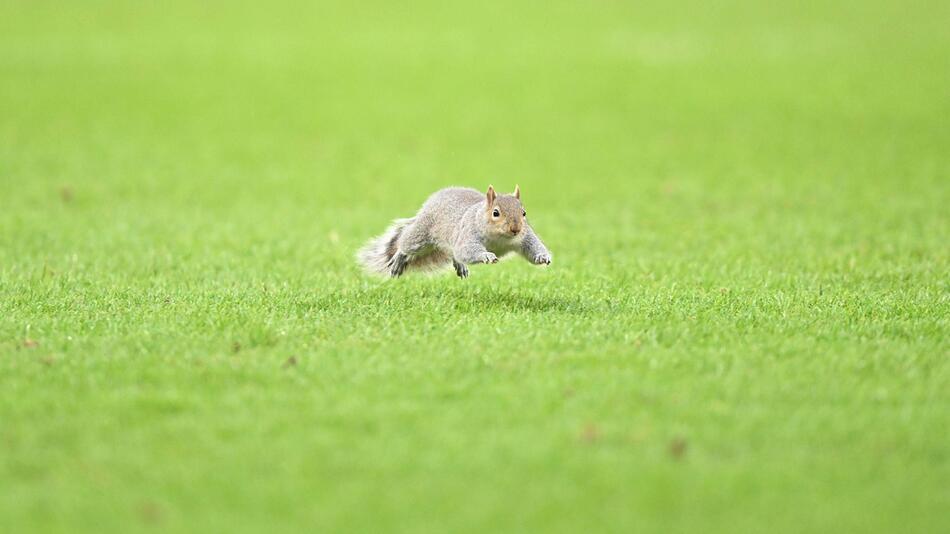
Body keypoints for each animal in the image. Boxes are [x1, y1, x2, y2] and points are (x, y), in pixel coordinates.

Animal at [356, 185, 556, 280]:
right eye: (496, 213)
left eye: (524, 213)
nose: (516, 229)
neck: (501, 239)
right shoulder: (469, 234)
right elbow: (468, 250)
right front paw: (486, 256)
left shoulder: (525, 237)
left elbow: (532, 247)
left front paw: (543, 257)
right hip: (421, 236)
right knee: (406, 244)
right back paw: (399, 259)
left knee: (455, 254)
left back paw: (460, 266)